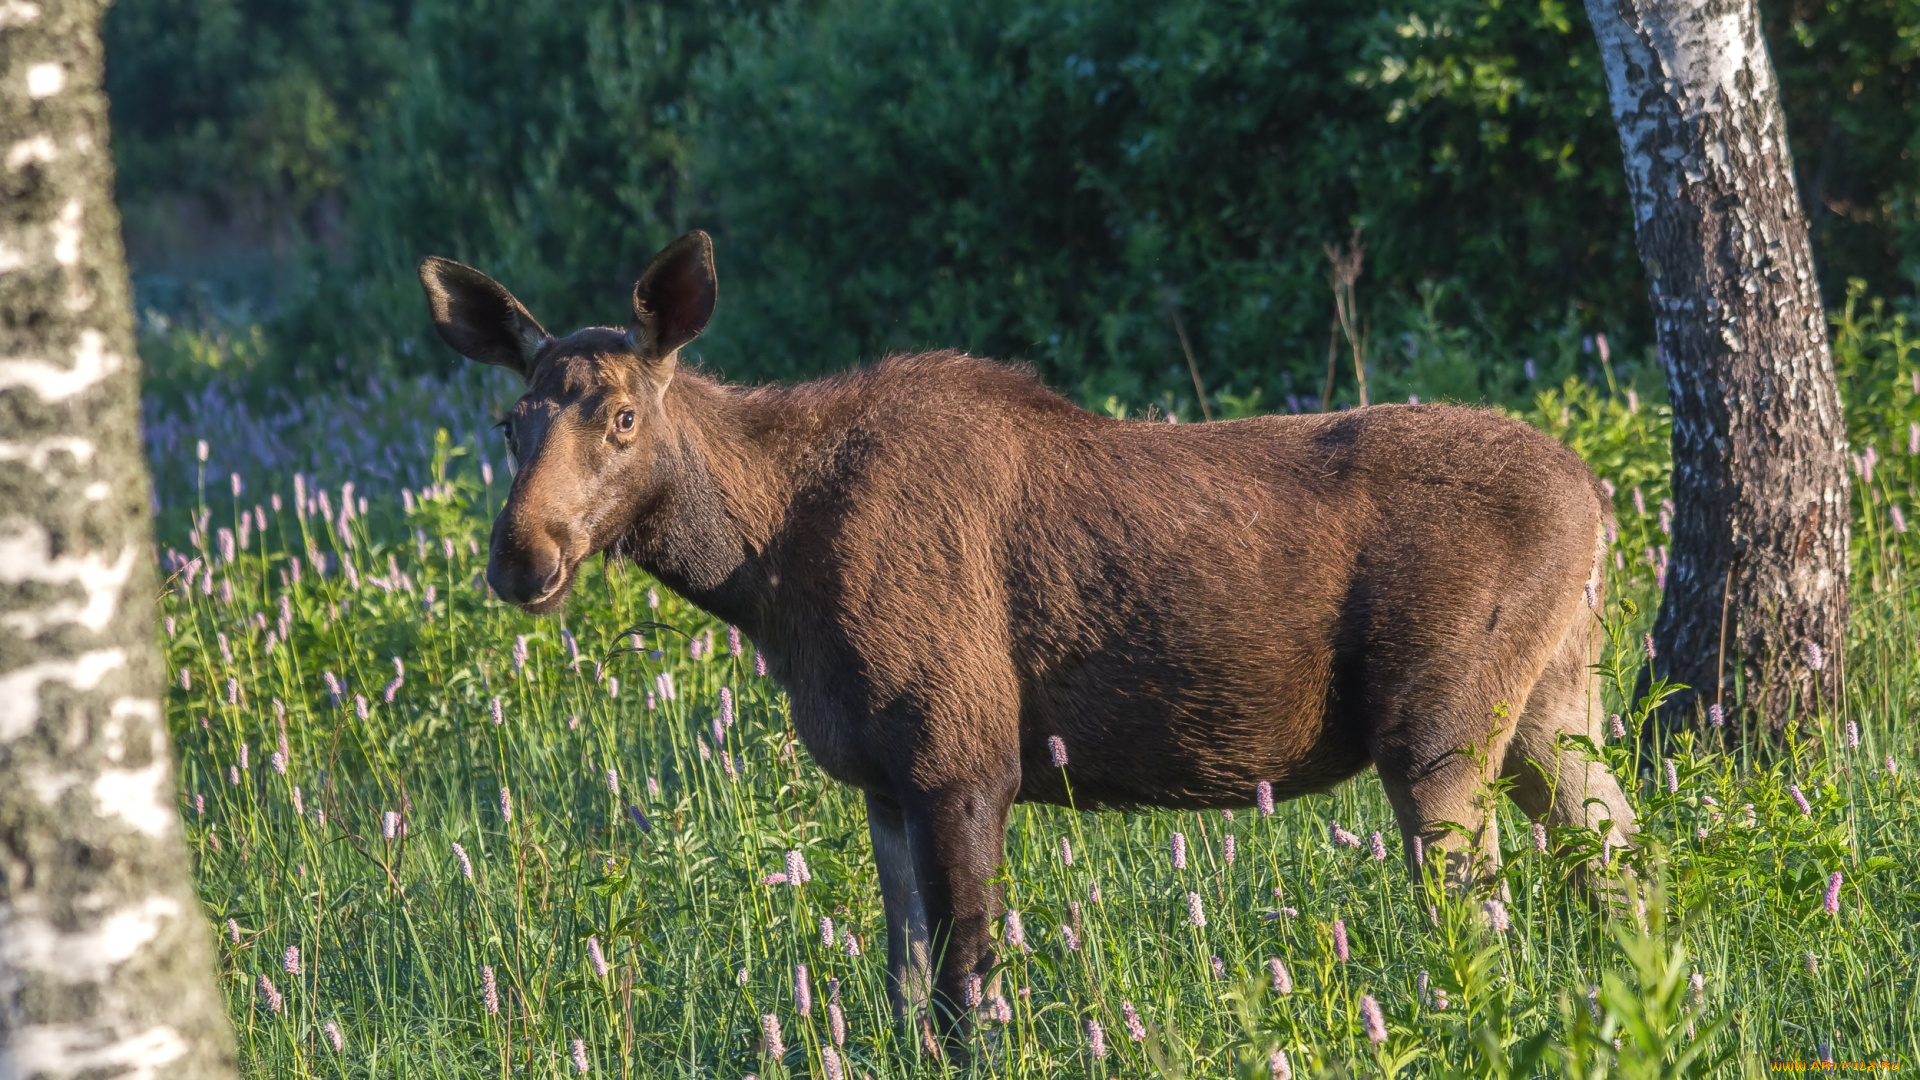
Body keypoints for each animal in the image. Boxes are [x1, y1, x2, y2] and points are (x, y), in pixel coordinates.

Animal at [420, 226, 1635, 1045]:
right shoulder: (882, 782)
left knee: (1487, 926)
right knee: (1627, 878)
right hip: (1550, 707)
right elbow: (905, 991)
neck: (763, 572)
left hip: (1436, 734)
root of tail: (1601, 500)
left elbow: (971, 998)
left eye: (624, 418)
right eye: (510, 421)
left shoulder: (963, 762)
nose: (521, 556)